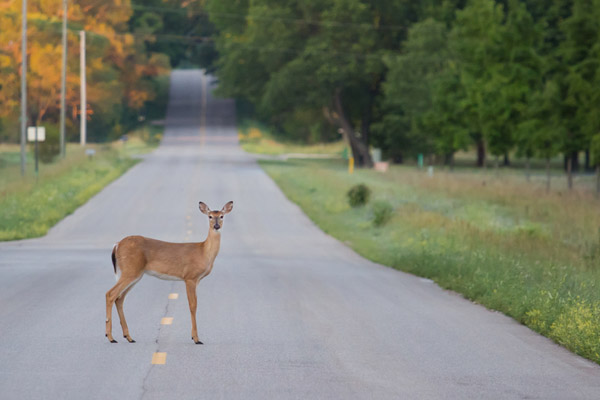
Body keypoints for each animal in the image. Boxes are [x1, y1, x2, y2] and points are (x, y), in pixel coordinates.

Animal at [105, 200, 232, 344]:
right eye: (210, 216)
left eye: (221, 216)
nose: (216, 226)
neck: (204, 252)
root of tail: (117, 245)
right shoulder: (190, 277)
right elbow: (193, 305)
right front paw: (196, 338)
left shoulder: (197, 280)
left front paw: (194, 336)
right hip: (130, 270)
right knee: (110, 294)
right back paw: (110, 337)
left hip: (135, 274)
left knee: (119, 298)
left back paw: (128, 337)